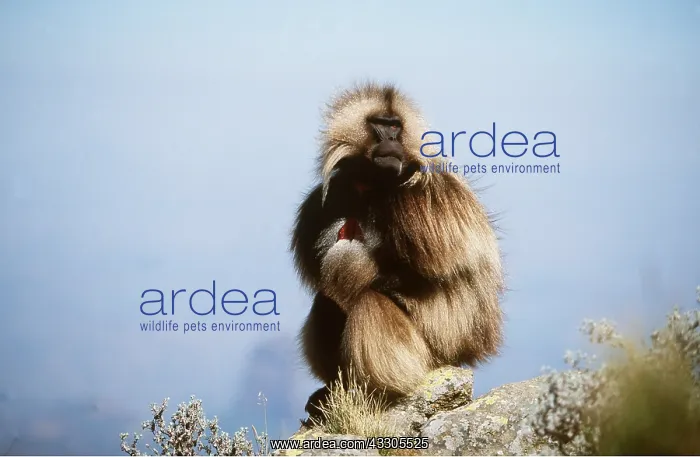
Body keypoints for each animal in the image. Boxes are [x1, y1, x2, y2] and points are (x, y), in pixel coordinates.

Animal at [290, 82, 505, 417]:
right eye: (380, 124)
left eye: (396, 127)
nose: (391, 141)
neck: (371, 185)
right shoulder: (322, 201)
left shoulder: (426, 197)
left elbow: (440, 270)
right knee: (326, 301)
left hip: (434, 354)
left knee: (367, 300)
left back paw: (378, 390)